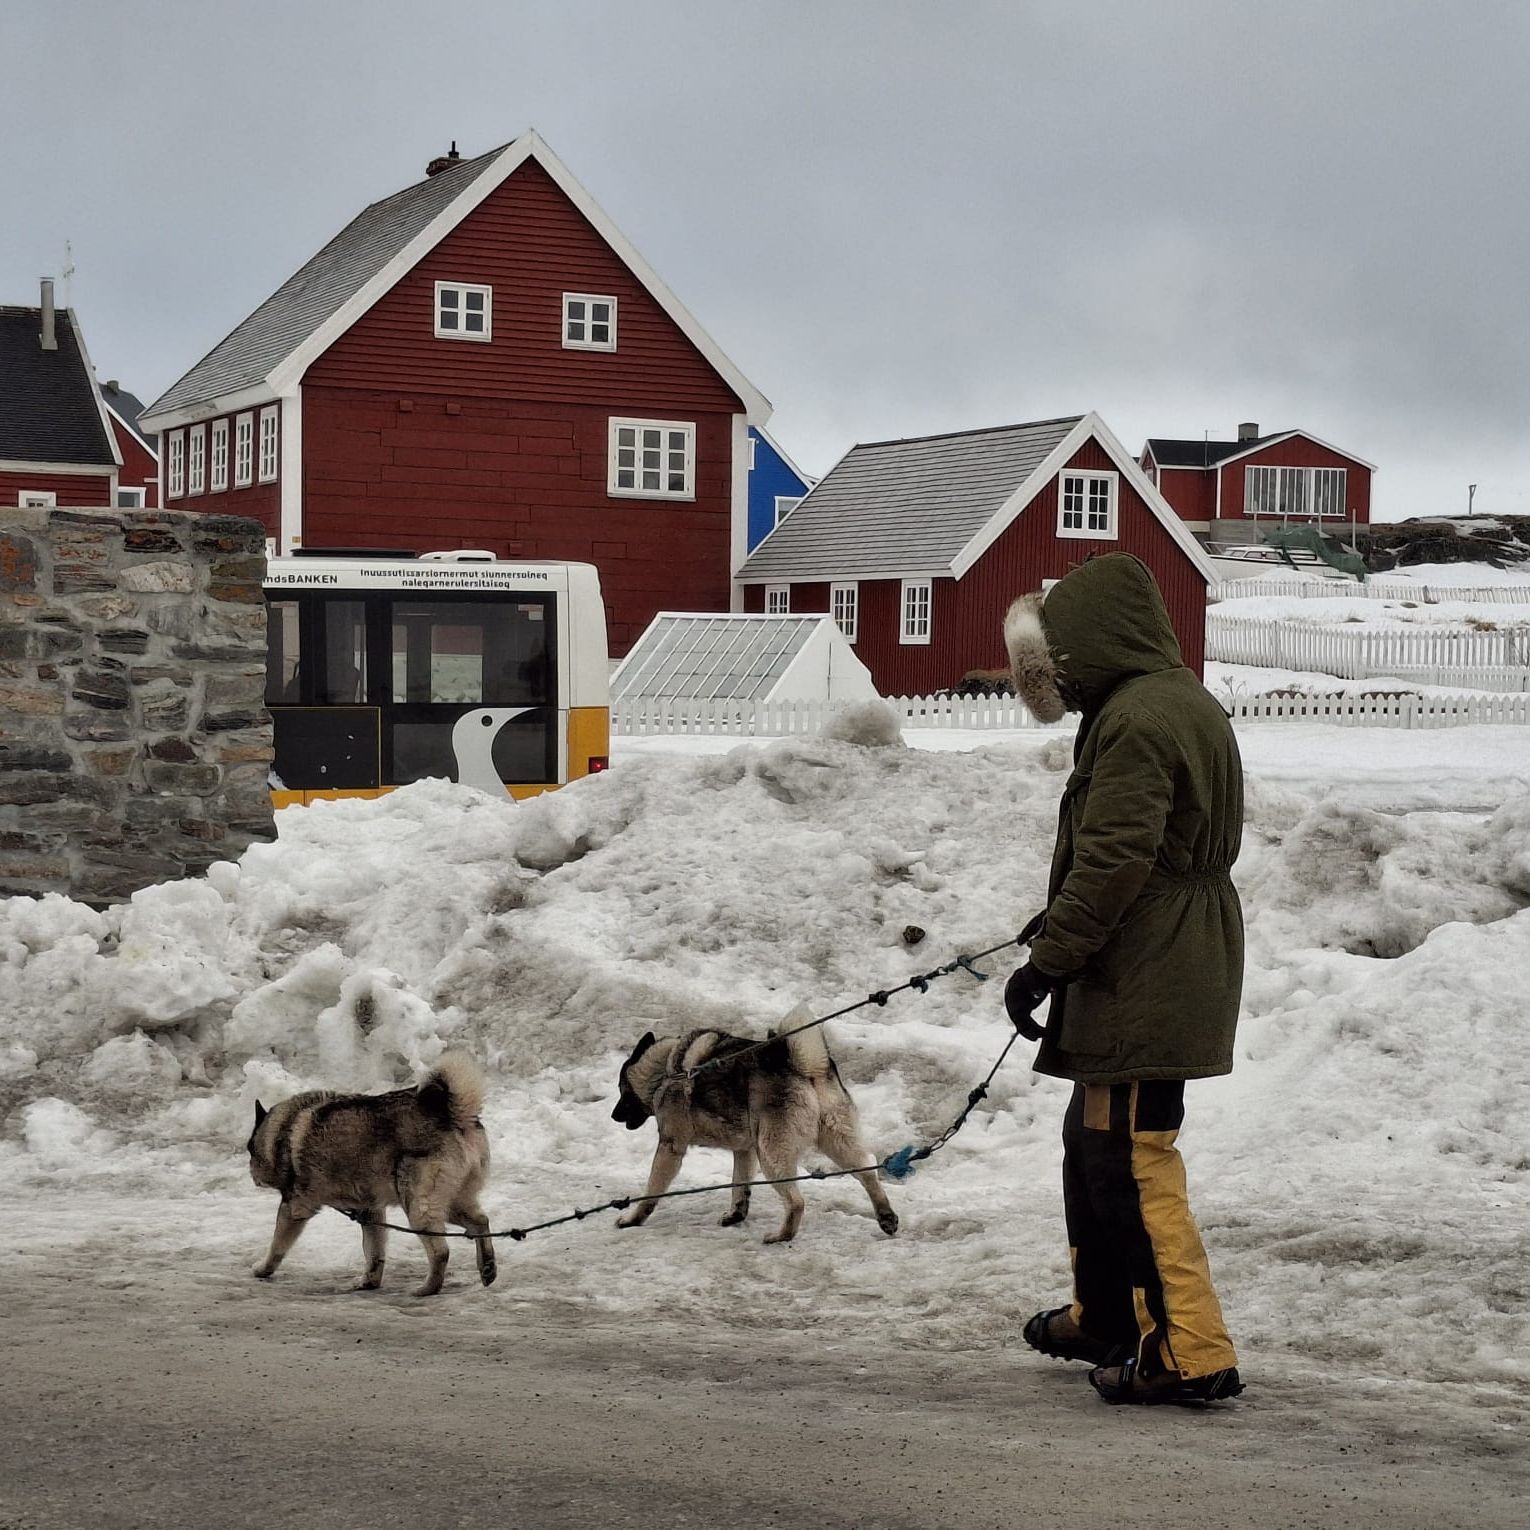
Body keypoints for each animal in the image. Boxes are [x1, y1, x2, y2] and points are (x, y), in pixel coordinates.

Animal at [246, 1058, 495, 1297]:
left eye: (249, 1149)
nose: (251, 1173)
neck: (282, 1131)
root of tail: (454, 1113)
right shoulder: (370, 1212)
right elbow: (374, 1253)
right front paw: (370, 1282)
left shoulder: (294, 1209)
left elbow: (277, 1246)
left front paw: (263, 1269)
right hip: (450, 1202)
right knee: (481, 1222)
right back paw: (487, 1267)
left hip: (418, 1207)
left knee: (441, 1251)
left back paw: (427, 1289)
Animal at [608, 1015, 893, 1242]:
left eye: (621, 1090)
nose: (612, 1115)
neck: (663, 1071)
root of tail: (807, 1067)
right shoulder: (744, 1151)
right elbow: (740, 1186)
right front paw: (736, 1215)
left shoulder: (670, 1148)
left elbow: (651, 1189)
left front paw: (633, 1219)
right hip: (837, 1141)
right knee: (868, 1174)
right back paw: (887, 1217)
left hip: (771, 1156)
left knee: (796, 1202)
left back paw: (781, 1236)